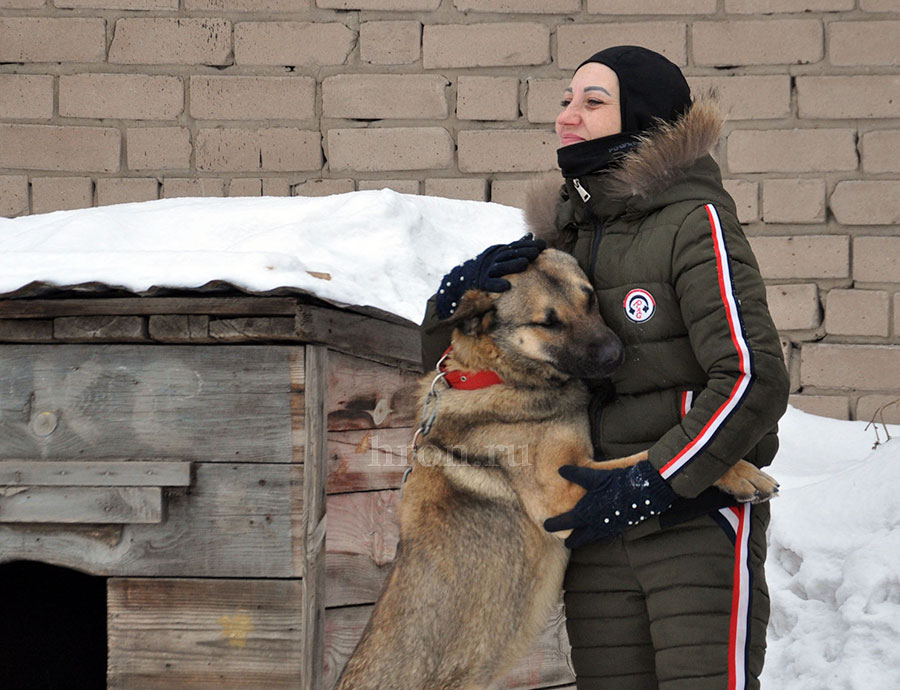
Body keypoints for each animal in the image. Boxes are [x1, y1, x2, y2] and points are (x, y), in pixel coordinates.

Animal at [334, 249, 776, 688]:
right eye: (547, 322)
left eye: (590, 298)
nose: (616, 355)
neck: (496, 375)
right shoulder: (565, 495)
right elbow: (644, 458)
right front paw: (741, 472)